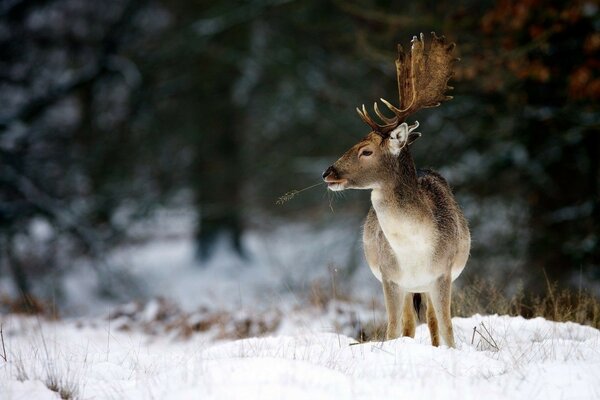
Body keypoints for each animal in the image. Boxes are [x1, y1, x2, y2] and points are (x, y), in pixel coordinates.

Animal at [324, 33, 468, 346]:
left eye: (366, 151)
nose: (328, 173)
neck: (414, 250)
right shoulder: (389, 277)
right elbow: (391, 330)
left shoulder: (443, 274)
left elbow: (448, 328)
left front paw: (451, 351)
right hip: (406, 286)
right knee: (409, 324)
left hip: (428, 285)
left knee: (432, 321)